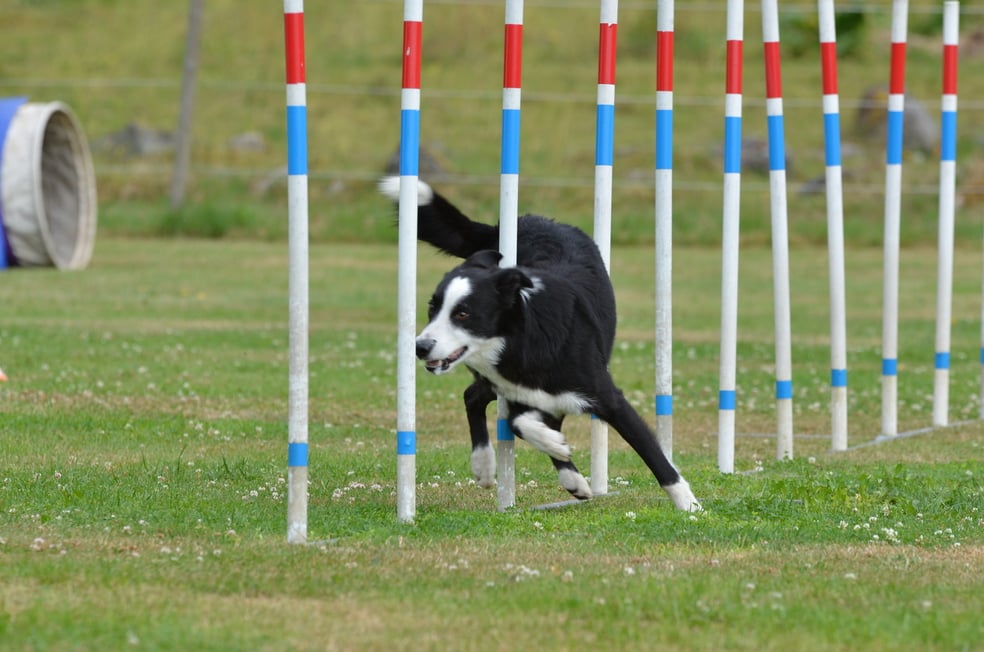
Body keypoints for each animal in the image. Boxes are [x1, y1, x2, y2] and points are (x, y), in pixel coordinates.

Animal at [378, 177, 700, 510]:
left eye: (463, 313)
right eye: (432, 308)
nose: (420, 347)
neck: (521, 340)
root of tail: (532, 219)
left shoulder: (608, 399)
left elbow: (654, 455)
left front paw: (690, 507)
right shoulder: (524, 393)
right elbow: (519, 423)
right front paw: (555, 446)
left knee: (477, 396)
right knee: (474, 397)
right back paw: (489, 464)